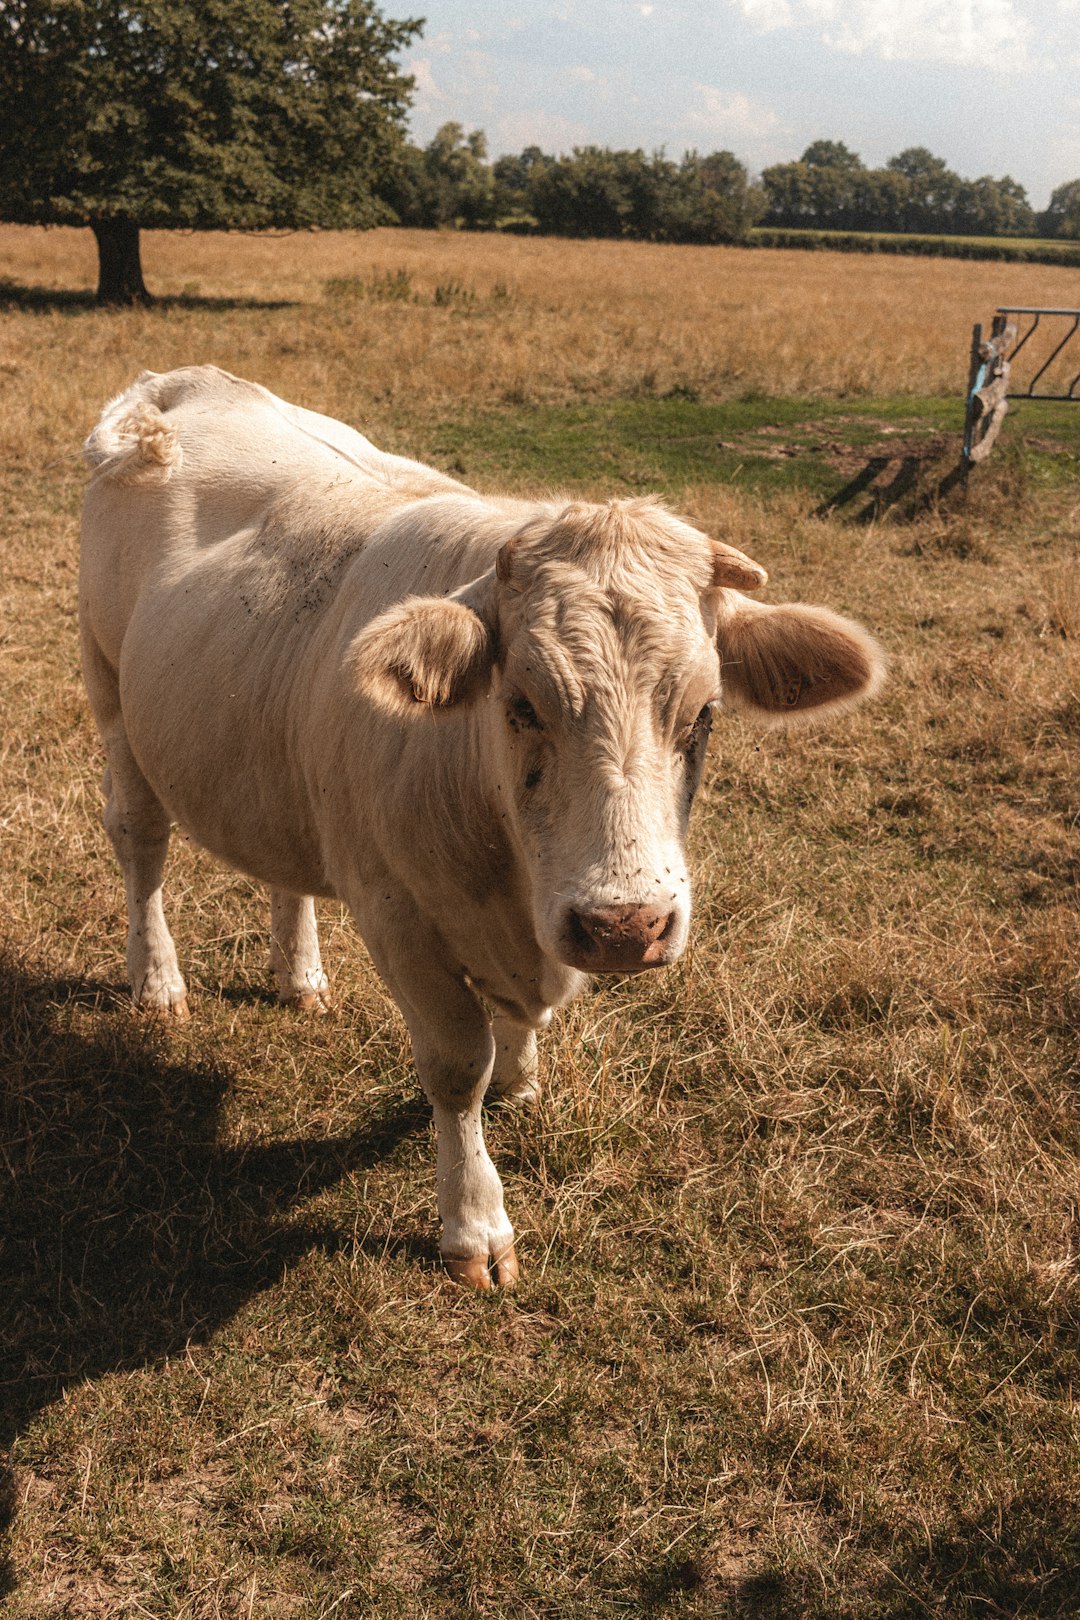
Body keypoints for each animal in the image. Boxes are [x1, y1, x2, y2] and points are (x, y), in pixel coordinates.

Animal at [78, 367, 887, 1289]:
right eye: (522, 703)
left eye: (705, 712)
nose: (626, 924)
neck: (509, 876)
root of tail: (178, 384)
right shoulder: (396, 915)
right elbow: (457, 1065)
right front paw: (475, 1223)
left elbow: (515, 1029)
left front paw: (522, 1079)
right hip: (110, 690)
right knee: (140, 841)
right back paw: (158, 983)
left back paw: (301, 977)